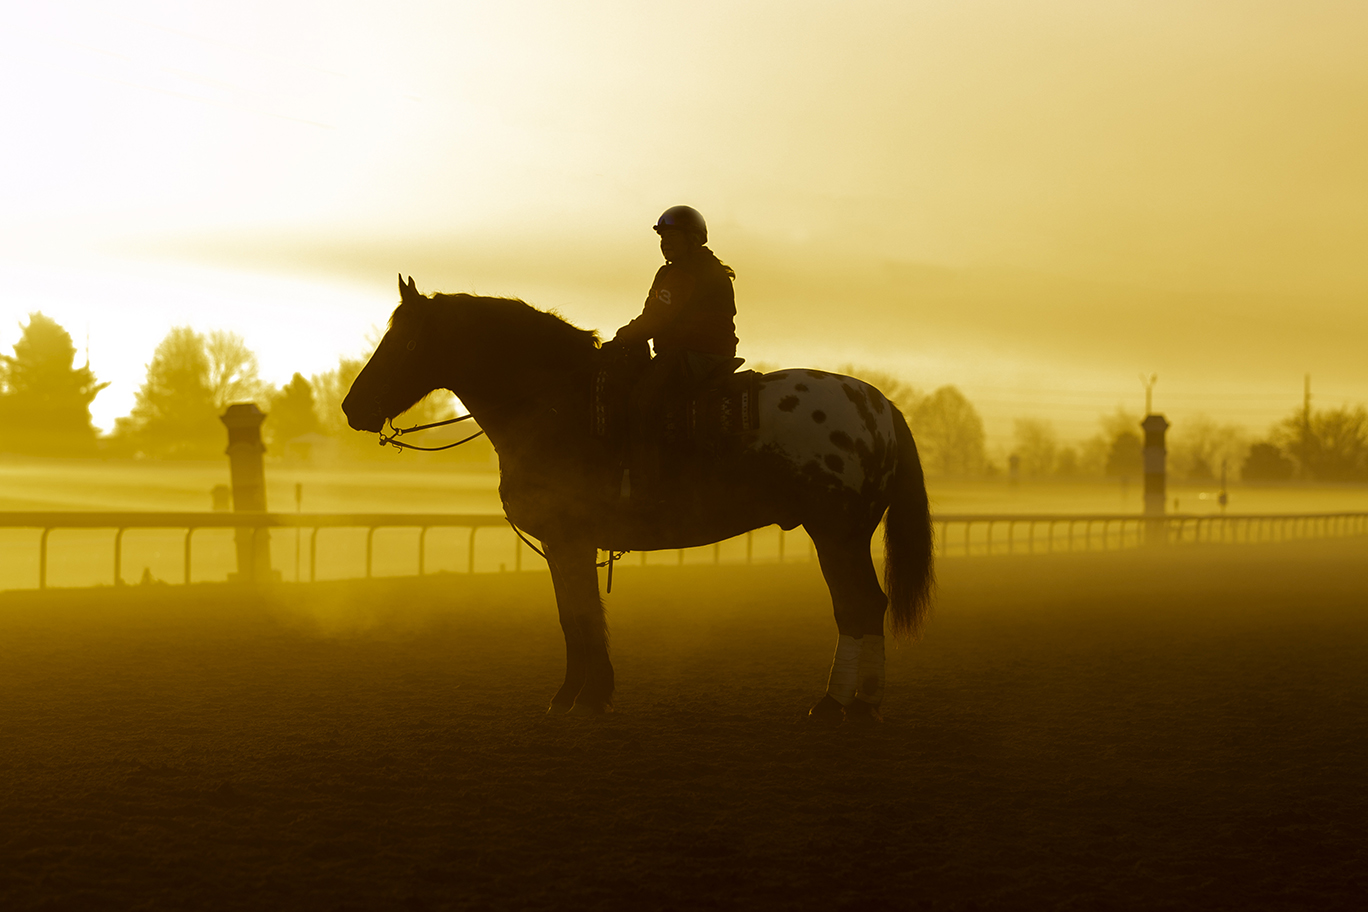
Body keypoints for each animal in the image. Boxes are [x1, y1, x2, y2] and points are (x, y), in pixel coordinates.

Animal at [347, 274, 935, 721]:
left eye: (403, 343)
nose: (353, 407)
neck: (557, 403)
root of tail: (880, 405)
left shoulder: (570, 540)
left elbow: (582, 617)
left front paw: (581, 698)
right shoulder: (563, 546)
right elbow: (574, 616)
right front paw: (582, 695)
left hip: (837, 534)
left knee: (857, 606)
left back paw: (843, 704)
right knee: (865, 606)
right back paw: (858, 702)